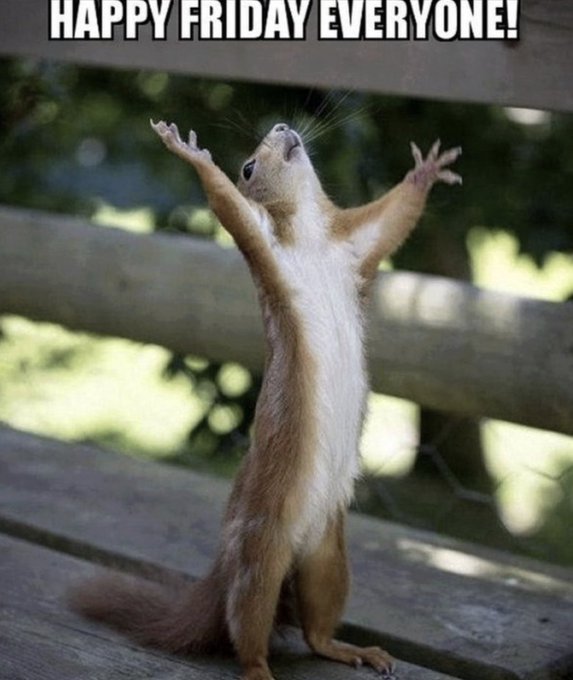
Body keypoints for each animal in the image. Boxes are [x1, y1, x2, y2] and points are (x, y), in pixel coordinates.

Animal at [71, 118, 461, 680]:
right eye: (248, 166)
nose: (281, 126)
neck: (312, 237)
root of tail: (225, 568)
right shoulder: (263, 244)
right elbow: (227, 206)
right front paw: (191, 154)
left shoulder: (355, 246)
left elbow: (394, 218)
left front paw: (426, 171)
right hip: (261, 553)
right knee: (247, 626)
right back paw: (259, 668)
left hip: (328, 556)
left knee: (316, 628)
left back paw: (353, 649)